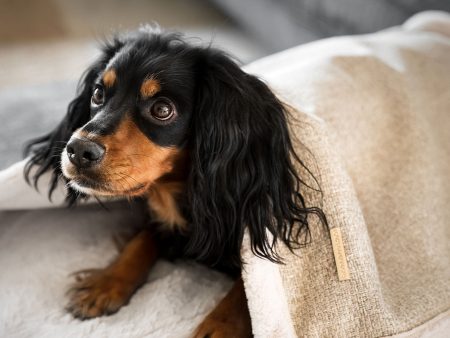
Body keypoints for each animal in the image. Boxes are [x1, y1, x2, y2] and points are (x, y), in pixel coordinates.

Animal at [24, 27, 326, 338]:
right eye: (98, 93)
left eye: (162, 109)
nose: (78, 150)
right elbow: (141, 239)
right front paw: (105, 283)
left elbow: (248, 293)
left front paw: (220, 326)